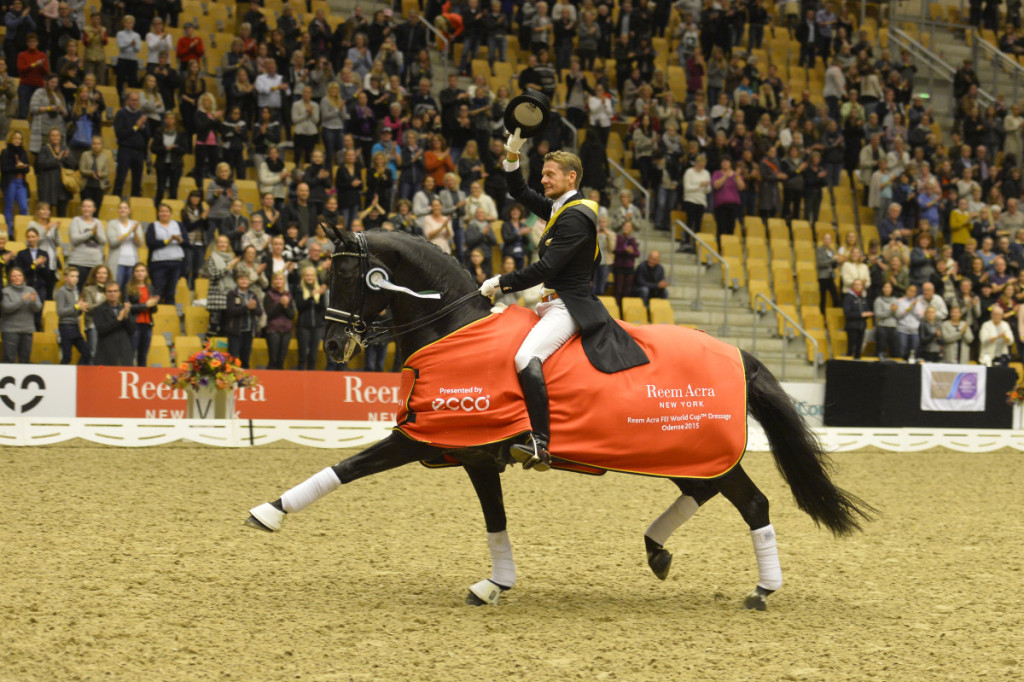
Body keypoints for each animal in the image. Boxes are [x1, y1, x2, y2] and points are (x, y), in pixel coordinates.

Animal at [245, 228, 872, 606]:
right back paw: (657, 549)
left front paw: (268, 512)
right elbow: (495, 521)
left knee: (753, 504)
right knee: (708, 492)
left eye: (348, 275)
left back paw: (762, 589)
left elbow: (348, 466)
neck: (454, 331)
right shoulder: (474, 457)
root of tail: (738, 352)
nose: (332, 346)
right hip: (687, 451)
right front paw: (495, 583)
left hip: (701, 449)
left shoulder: (428, 437)